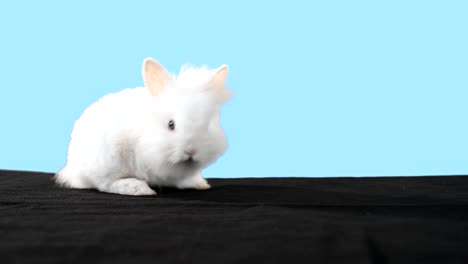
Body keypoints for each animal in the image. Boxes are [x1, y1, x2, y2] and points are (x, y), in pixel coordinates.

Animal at [54, 57, 232, 195]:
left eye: (207, 125)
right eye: (171, 124)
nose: (190, 151)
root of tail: (73, 167)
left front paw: (199, 183)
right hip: (105, 160)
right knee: (105, 184)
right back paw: (139, 189)